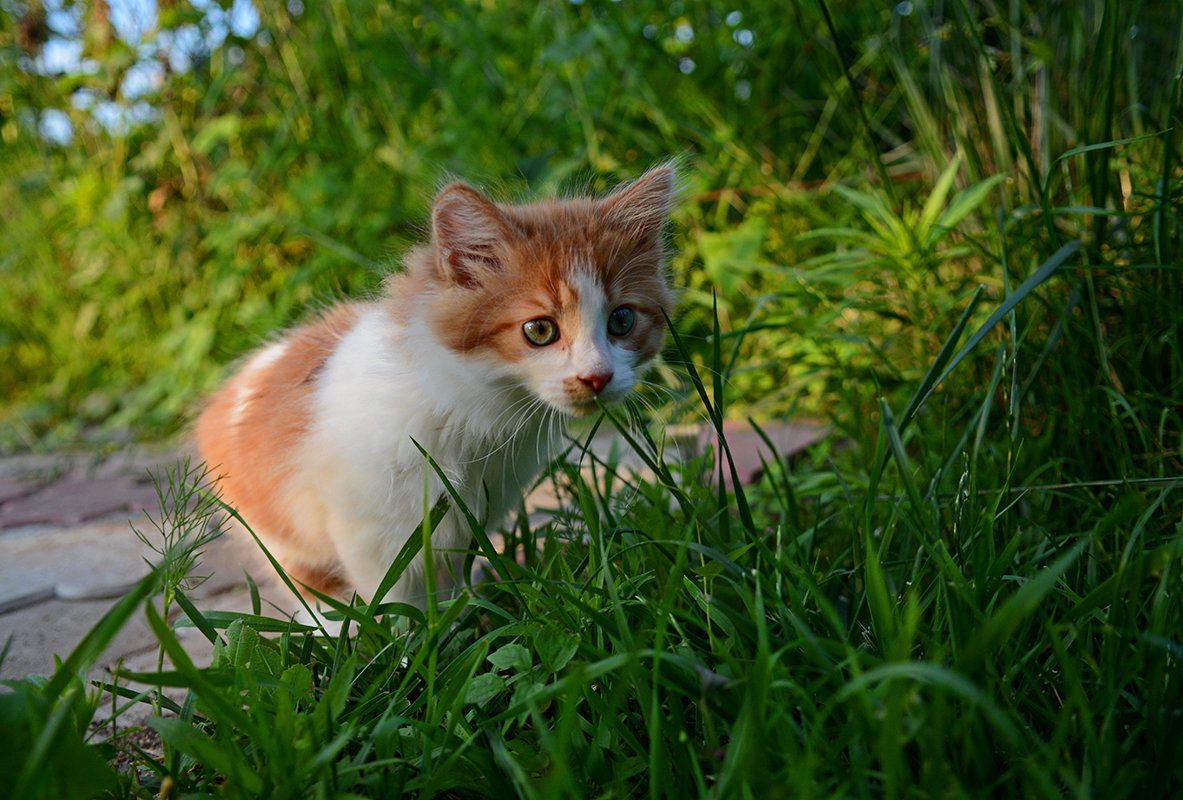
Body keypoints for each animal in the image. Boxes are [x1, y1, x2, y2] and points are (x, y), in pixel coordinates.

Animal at [194, 166, 676, 605]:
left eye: (621, 320)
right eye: (539, 330)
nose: (597, 376)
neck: (475, 407)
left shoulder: (466, 520)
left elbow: (442, 592)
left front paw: (458, 626)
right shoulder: (369, 531)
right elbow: (390, 605)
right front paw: (403, 644)